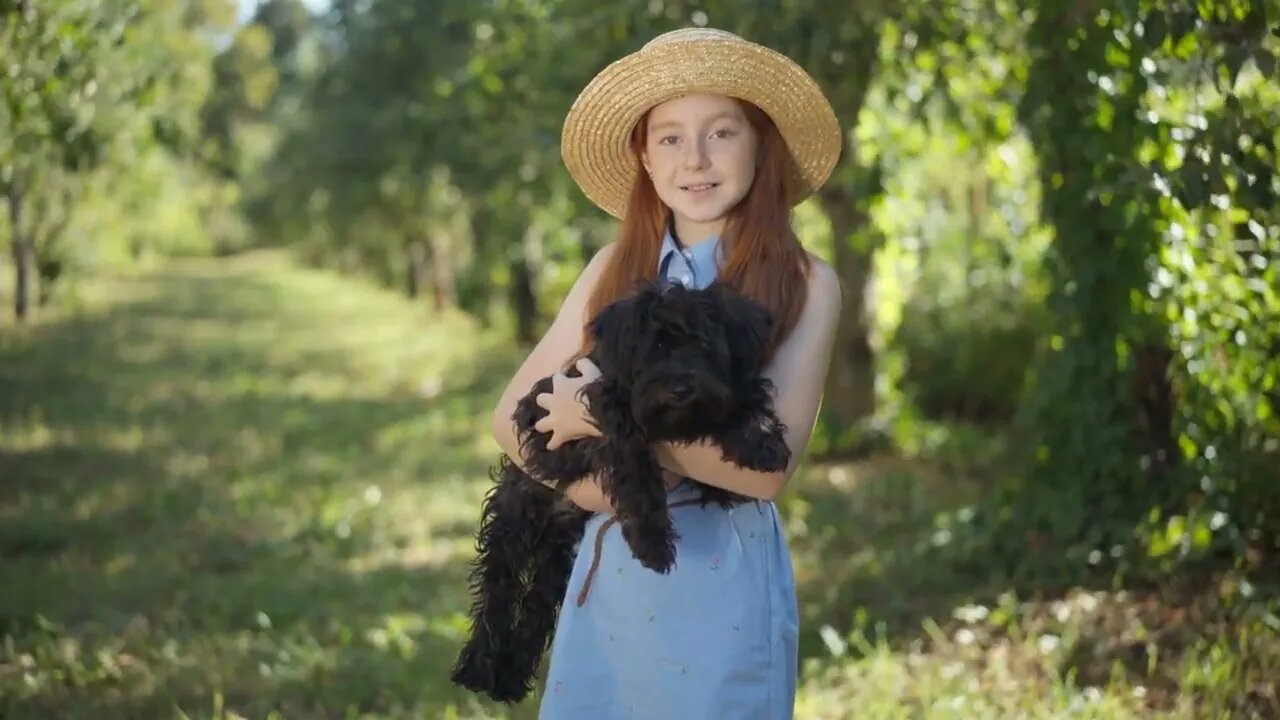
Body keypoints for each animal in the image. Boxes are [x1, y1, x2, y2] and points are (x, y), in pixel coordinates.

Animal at [450, 280, 788, 702]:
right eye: (655, 346)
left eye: (705, 344)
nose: (680, 388)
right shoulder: (600, 414)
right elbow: (635, 463)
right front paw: (652, 543)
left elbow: (737, 406)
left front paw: (759, 437)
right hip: (513, 520)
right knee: (496, 594)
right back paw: (478, 668)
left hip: (556, 557)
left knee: (535, 609)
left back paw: (509, 678)